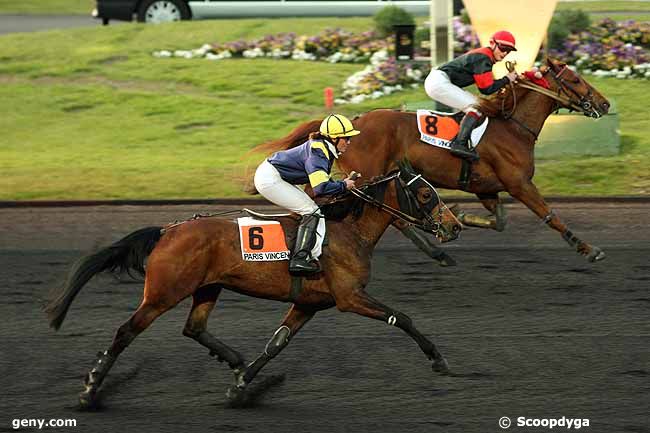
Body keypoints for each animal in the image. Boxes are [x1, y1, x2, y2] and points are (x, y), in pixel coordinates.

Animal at [44, 164, 460, 406]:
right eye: (426, 194)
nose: (454, 226)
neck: (348, 229)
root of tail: (167, 230)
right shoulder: (350, 297)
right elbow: (402, 318)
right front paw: (438, 359)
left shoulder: (308, 304)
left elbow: (276, 344)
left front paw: (244, 383)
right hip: (163, 293)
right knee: (126, 331)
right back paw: (91, 387)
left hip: (207, 288)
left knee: (193, 328)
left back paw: (235, 362)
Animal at [252, 58, 608, 262]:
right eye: (575, 80)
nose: (603, 104)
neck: (512, 127)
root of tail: (355, 121)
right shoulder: (519, 183)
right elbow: (551, 215)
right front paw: (588, 249)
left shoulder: (487, 188)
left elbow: (499, 220)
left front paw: (461, 216)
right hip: (371, 174)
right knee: (391, 215)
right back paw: (436, 252)